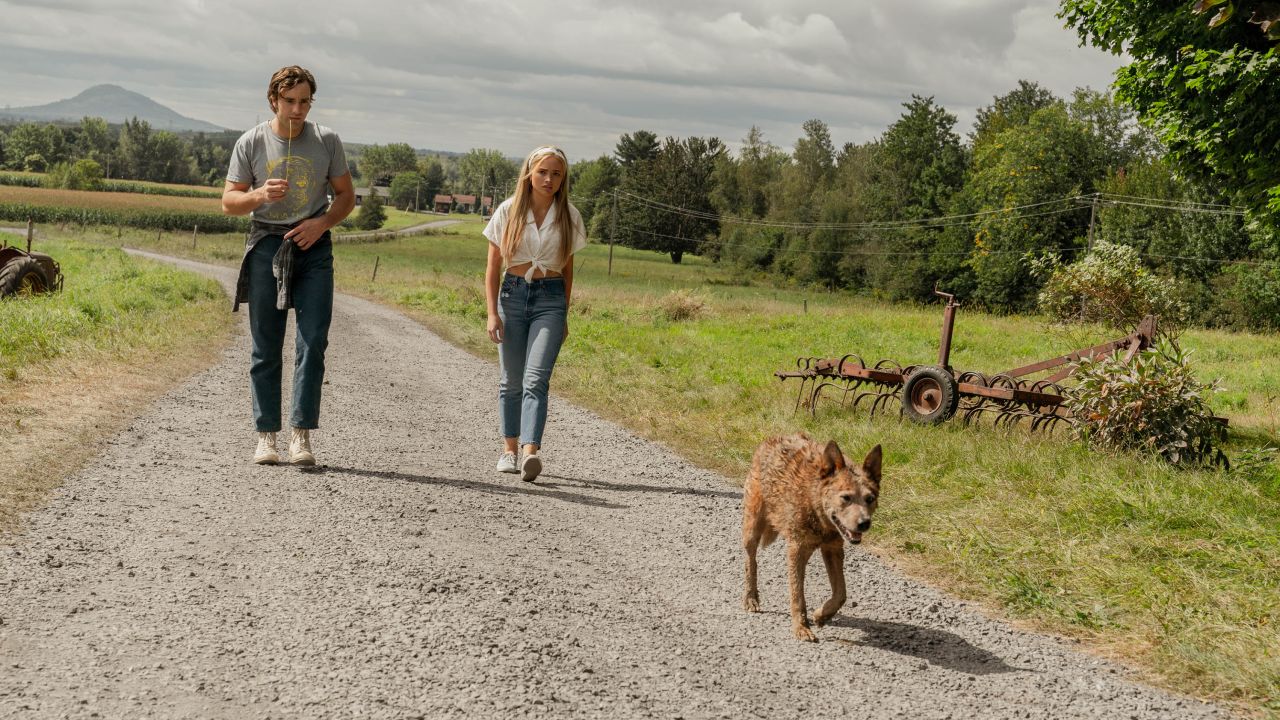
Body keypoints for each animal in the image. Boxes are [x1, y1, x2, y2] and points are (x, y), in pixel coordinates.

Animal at [742, 430, 880, 638]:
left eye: (870, 499)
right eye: (846, 498)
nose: (864, 523)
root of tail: (773, 438)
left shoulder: (833, 550)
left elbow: (841, 594)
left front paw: (821, 615)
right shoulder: (797, 551)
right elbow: (797, 595)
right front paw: (801, 627)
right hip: (752, 528)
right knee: (751, 562)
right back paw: (751, 597)